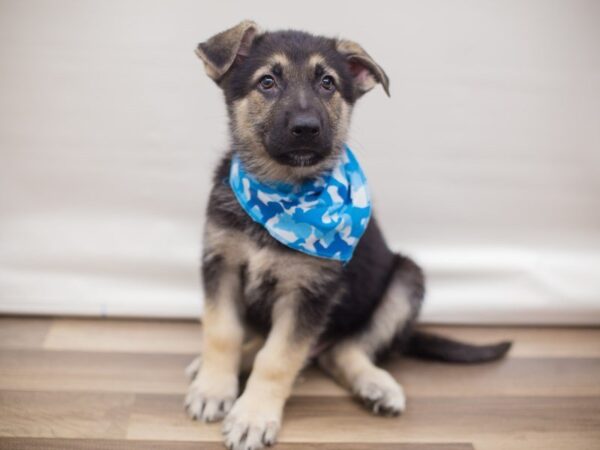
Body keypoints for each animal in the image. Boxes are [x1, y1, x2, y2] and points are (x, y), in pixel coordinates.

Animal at [184, 21, 510, 450]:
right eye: (267, 81)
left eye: (328, 83)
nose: (306, 128)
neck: (282, 194)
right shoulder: (221, 263)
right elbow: (222, 332)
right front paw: (213, 389)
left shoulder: (309, 292)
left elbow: (278, 358)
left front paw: (253, 415)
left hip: (405, 279)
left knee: (341, 351)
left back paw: (376, 384)